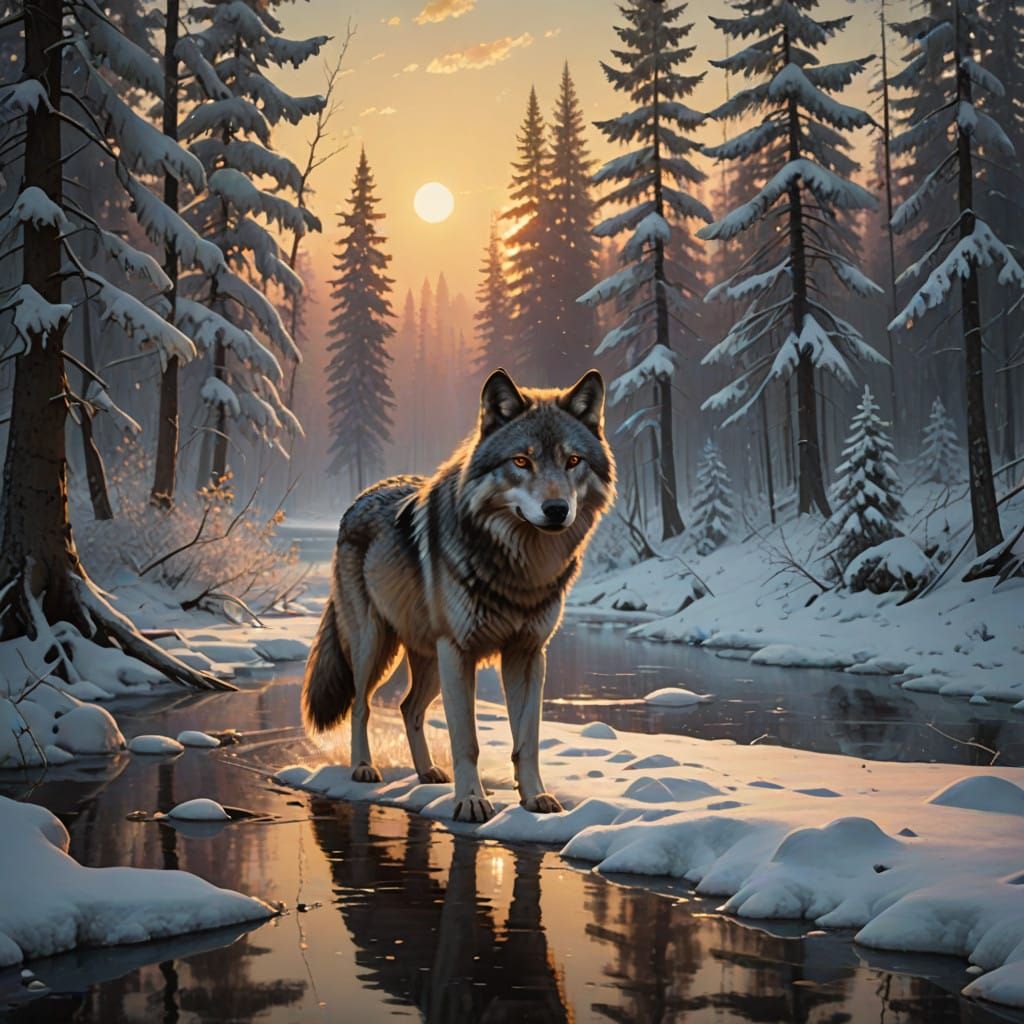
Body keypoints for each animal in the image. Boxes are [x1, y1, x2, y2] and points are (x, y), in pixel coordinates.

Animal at [302, 368, 615, 822]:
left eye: (573, 461)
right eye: (522, 461)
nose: (557, 510)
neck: (521, 570)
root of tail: (360, 497)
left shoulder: (528, 654)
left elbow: (528, 739)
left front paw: (534, 797)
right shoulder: (459, 651)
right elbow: (467, 738)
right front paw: (470, 801)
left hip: (430, 661)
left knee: (408, 708)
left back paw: (427, 772)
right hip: (375, 647)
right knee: (362, 705)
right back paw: (363, 767)